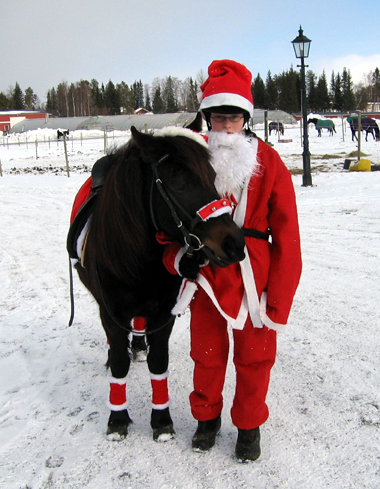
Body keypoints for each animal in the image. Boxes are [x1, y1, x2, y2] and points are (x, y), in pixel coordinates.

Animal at [67, 126, 245, 442]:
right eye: (177, 180)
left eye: (212, 175)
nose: (233, 244)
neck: (139, 258)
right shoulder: (111, 312)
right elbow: (119, 364)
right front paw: (117, 420)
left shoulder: (163, 313)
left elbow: (159, 362)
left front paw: (161, 420)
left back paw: (137, 346)